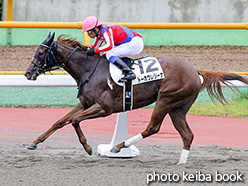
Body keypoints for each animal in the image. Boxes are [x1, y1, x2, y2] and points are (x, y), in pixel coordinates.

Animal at [24, 32, 248, 163]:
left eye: (41, 52)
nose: (27, 73)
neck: (90, 69)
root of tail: (195, 70)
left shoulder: (104, 108)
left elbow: (75, 121)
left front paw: (88, 147)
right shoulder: (85, 103)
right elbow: (60, 121)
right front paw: (34, 142)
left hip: (165, 99)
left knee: (153, 128)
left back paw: (118, 147)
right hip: (178, 108)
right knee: (187, 135)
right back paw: (180, 163)